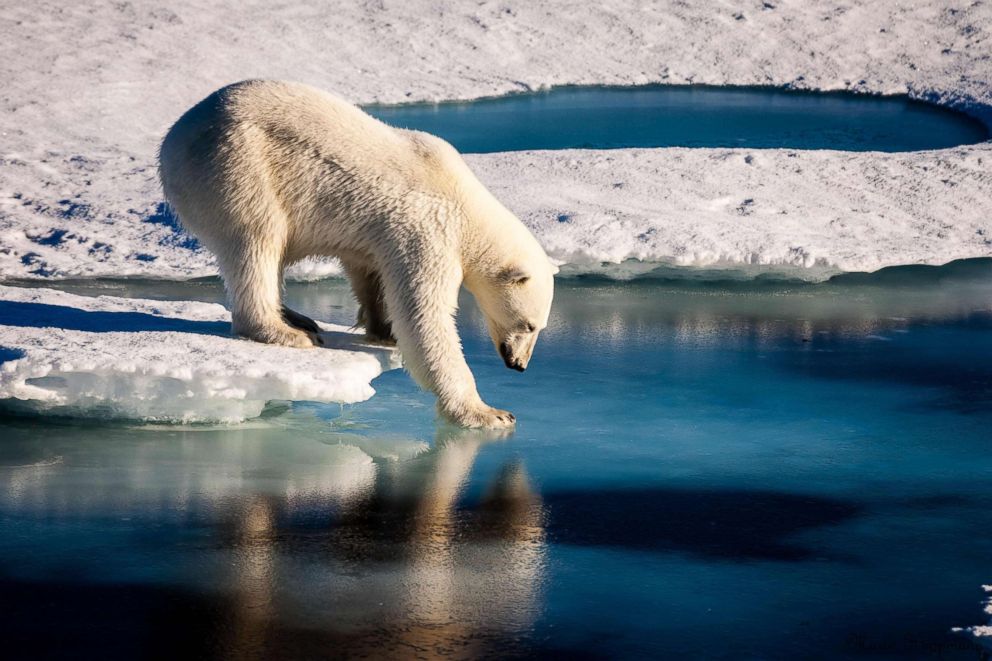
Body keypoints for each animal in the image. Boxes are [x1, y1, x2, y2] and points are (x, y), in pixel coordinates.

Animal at [159, 80, 556, 428]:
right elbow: (425, 316)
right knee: (257, 240)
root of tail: (173, 138)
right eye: (529, 325)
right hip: (237, 166)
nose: (519, 364)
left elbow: (370, 272)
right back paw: (286, 332)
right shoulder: (428, 230)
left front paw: (383, 329)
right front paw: (489, 413)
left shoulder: (381, 234)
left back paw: (297, 317)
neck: (465, 203)